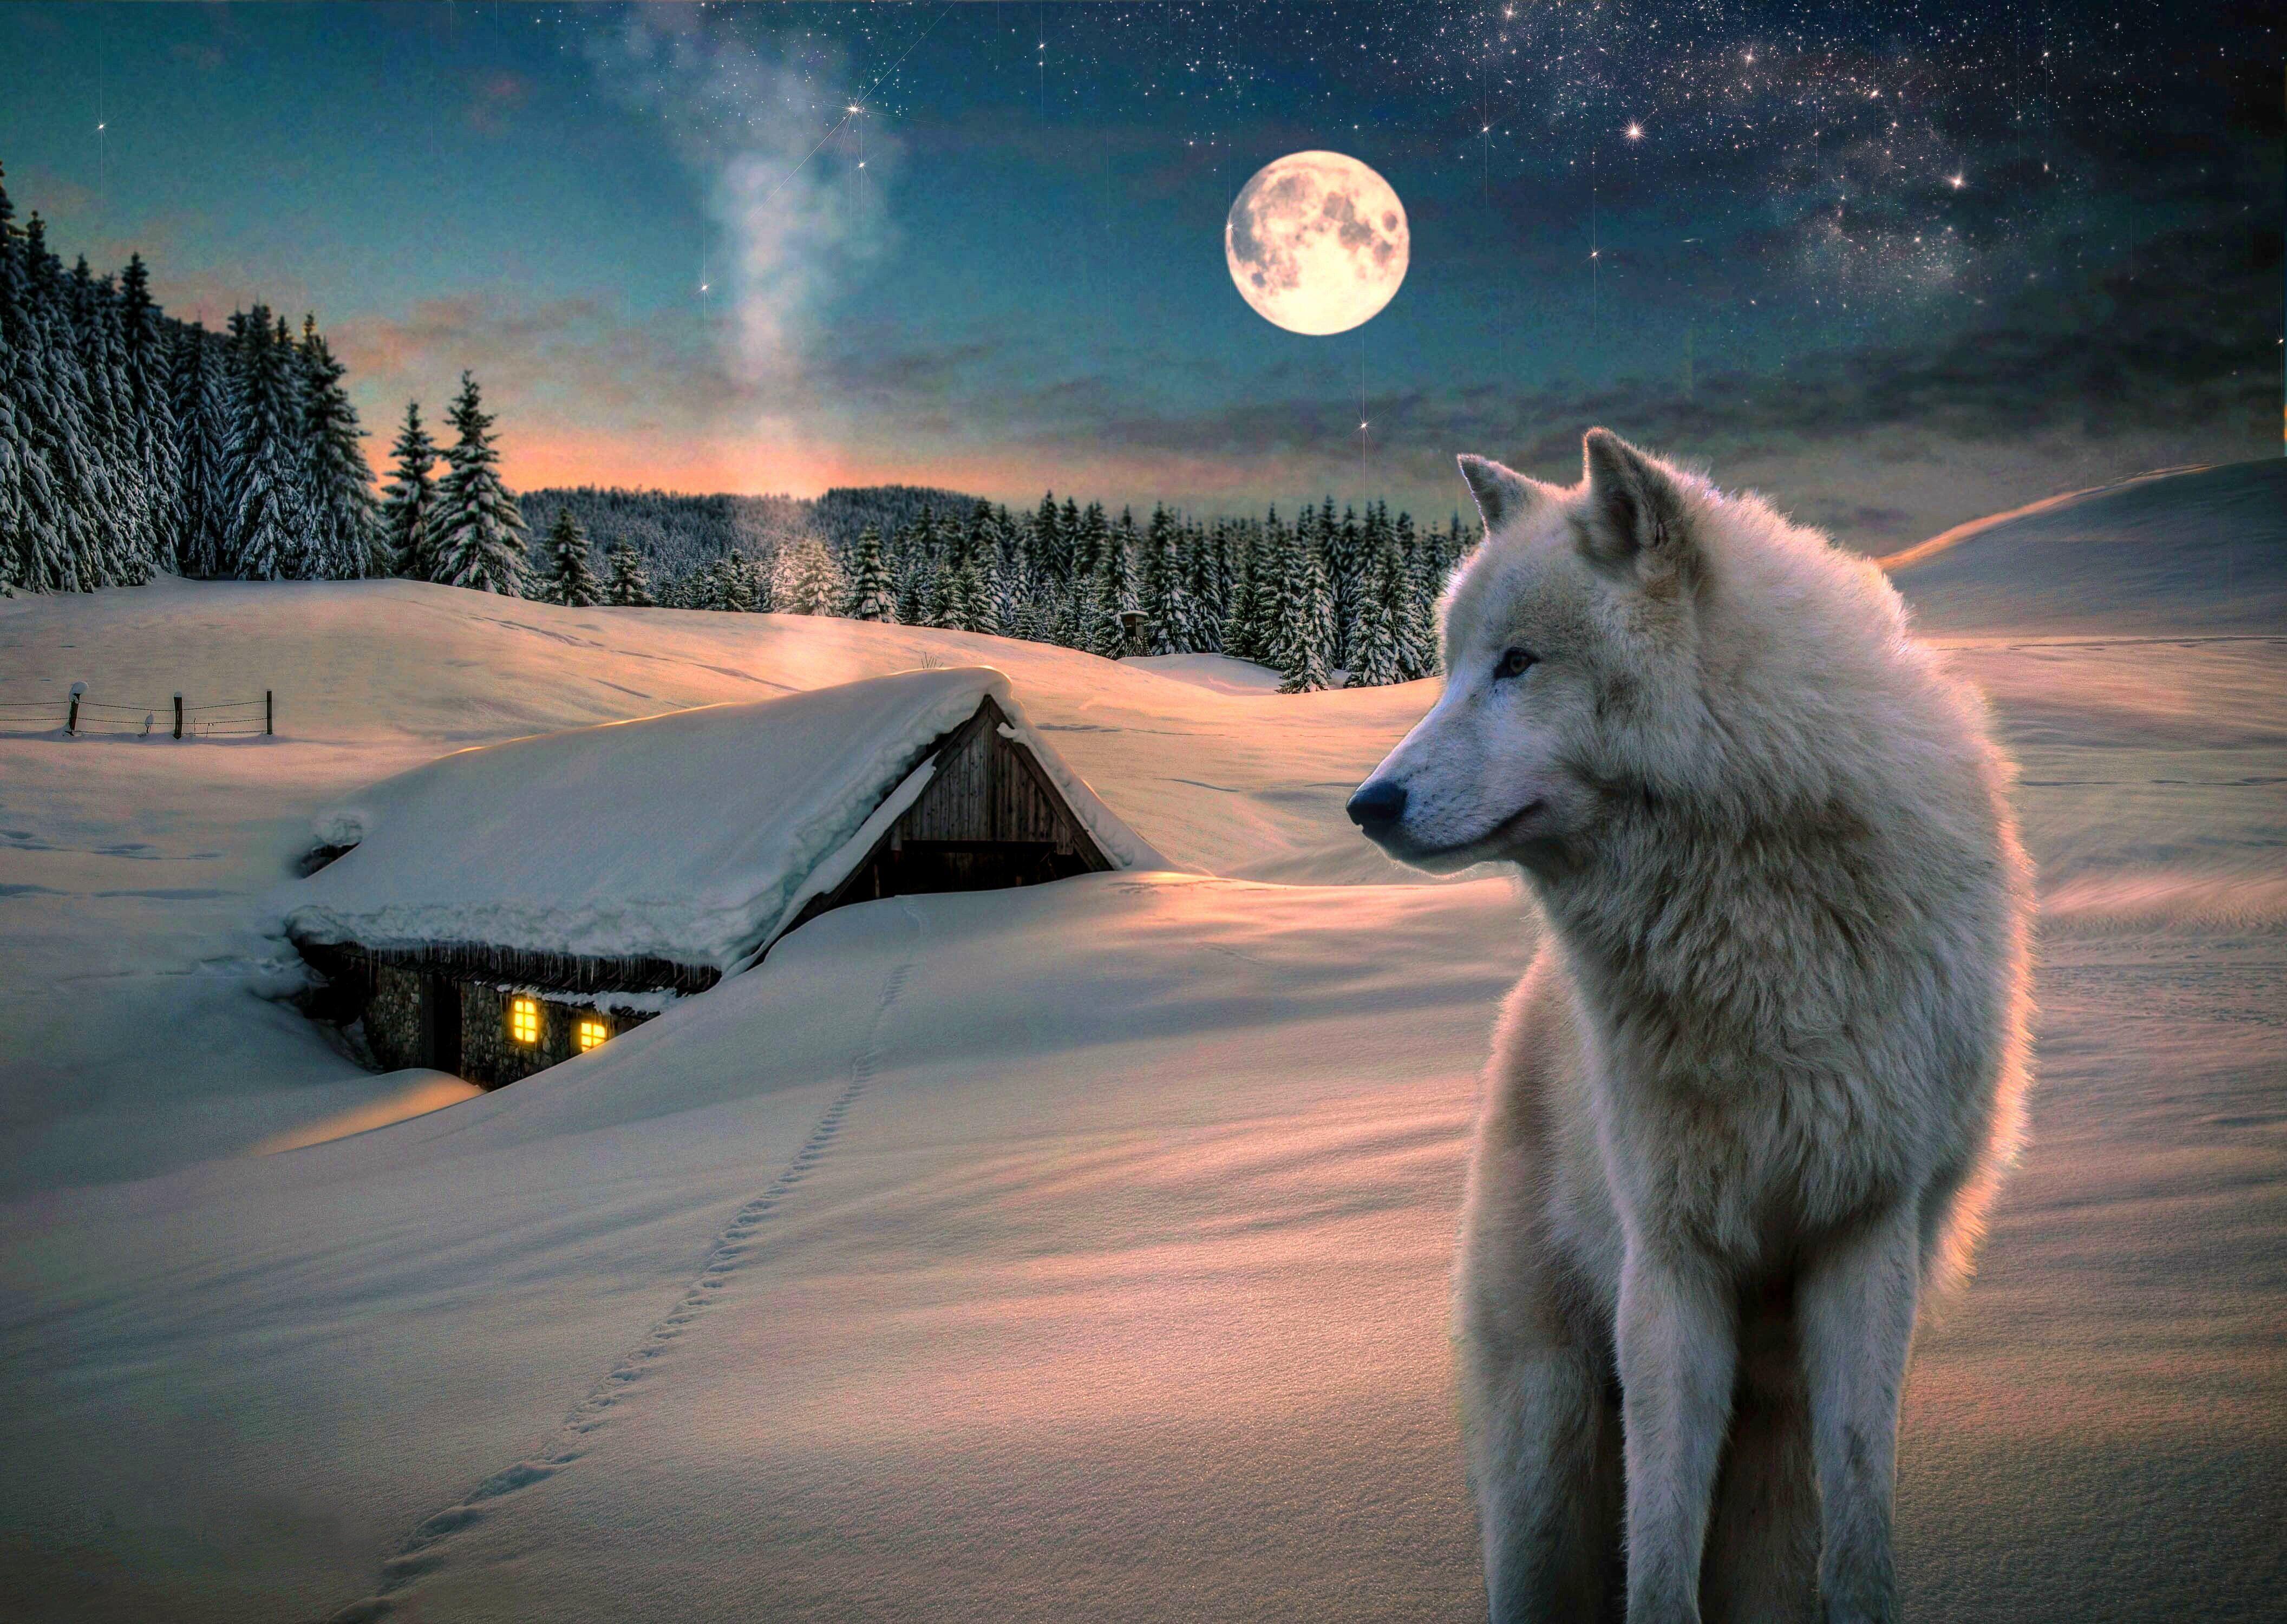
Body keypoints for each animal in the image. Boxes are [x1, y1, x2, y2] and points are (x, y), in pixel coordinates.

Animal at [1348, 431, 2032, 1623]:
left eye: (1517, 664)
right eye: (1452, 667)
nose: (1366, 805)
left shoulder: (1866, 1233)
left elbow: (1860, 1527)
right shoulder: (1670, 1265)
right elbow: (1661, 1554)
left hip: (1771, 1449)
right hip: (1547, 1446)